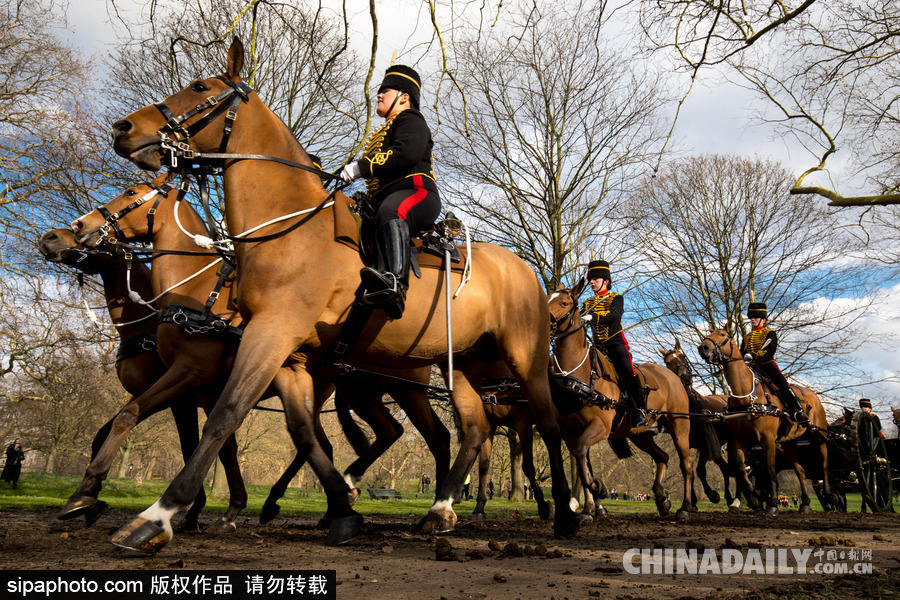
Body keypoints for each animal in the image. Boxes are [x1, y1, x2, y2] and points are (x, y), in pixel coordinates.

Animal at [38, 226, 244, 528]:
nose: (48, 238)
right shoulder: (146, 392)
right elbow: (104, 432)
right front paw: (89, 498)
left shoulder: (180, 397)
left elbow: (189, 445)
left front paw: (192, 510)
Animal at [102, 37, 576, 552]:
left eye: (200, 86)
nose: (123, 129)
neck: (289, 226)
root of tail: (526, 271)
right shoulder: (289, 355)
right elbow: (302, 431)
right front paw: (343, 510)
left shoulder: (269, 335)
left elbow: (226, 414)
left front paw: (158, 516)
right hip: (463, 366)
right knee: (473, 431)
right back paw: (439, 510)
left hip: (523, 359)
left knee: (550, 424)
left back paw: (566, 512)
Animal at [544, 282, 700, 520]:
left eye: (564, 303)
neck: (578, 374)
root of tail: (671, 376)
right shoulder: (570, 432)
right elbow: (581, 463)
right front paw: (589, 507)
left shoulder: (600, 427)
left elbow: (581, 457)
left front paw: (598, 489)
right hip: (639, 434)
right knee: (663, 457)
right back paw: (662, 500)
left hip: (679, 425)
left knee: (687, 463)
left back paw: (685, 507)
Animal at [700, 322, 832, 512]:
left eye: (723, 334)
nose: (703, 348)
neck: (747, 396)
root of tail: (813, 395)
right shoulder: (739, 440)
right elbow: (742, 469)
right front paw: (760, 494)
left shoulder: (768, 439)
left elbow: (770, 470)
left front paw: (772, 503)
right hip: (789, 443)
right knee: (800, 471)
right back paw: (805, 503)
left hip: (818, 436)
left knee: (824, 463)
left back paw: (829, 494)